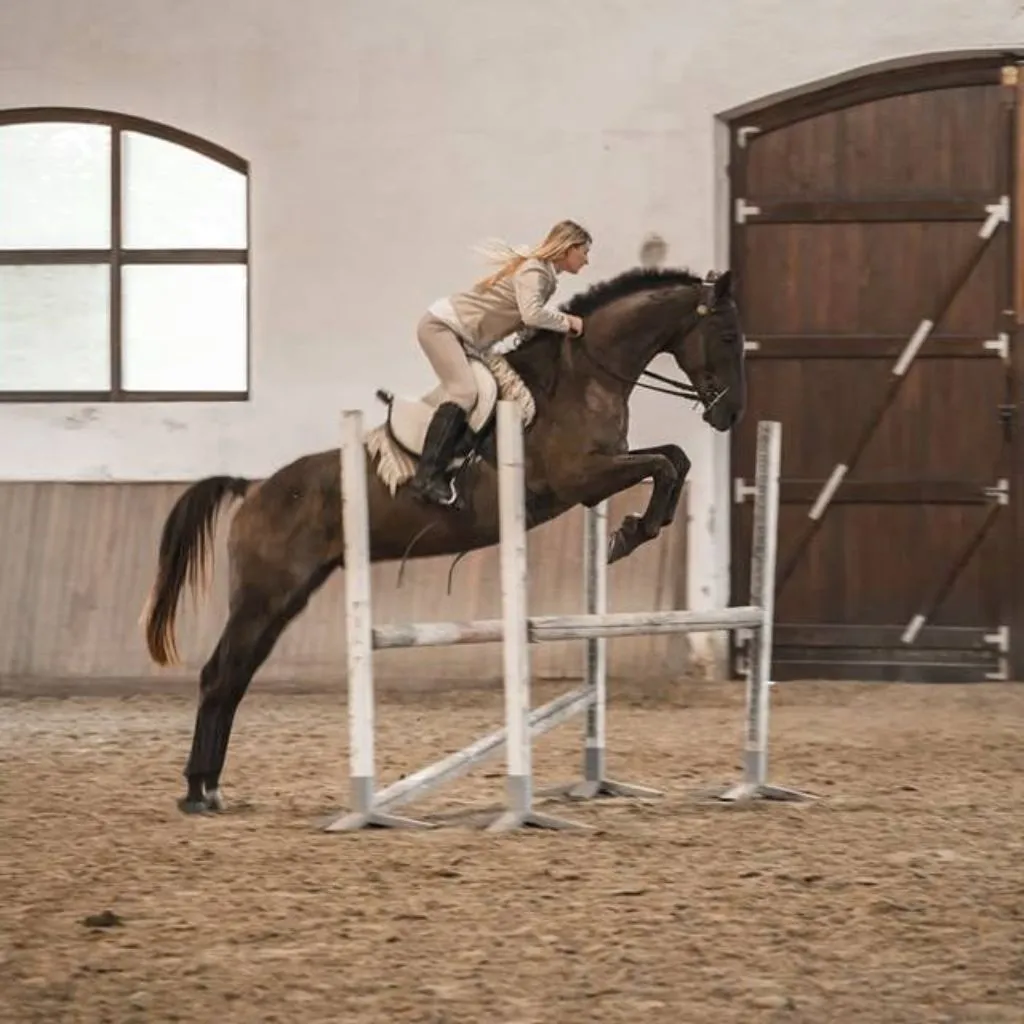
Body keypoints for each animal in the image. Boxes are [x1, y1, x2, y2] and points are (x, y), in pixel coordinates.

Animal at [142, 266, 745, 815]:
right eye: (727, 336)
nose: (729, 415)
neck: (583, 378)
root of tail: (256, 487)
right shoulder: (581, 478)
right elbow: (663, 465)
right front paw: (632, 532)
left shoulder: (604, 470)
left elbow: (674, 458)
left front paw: (634, 529)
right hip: (264, 594)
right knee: (219, 674)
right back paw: (196, 792)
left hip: (286, 597)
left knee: (236, 676)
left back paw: (210, 787)